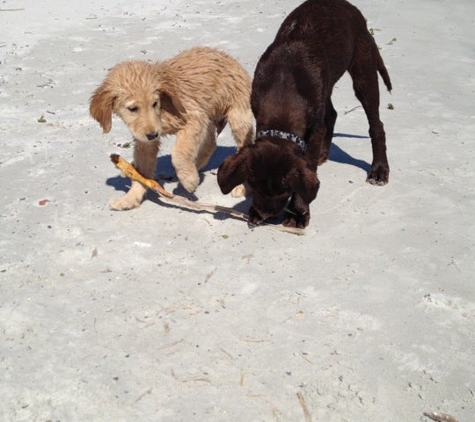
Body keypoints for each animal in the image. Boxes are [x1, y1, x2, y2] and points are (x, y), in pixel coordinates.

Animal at [90, 47, 255, 210]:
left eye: (154, 103)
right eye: (133, 109)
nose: (153, 134)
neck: (163, 107)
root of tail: (230, 58)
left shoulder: (194, 118)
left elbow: (178, 152)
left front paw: (189, 180)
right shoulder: (146, 143)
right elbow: (142, 173)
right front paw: (130, 198)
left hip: (238, 118)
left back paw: (241, 187)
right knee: (210, 143)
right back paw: (196, 166)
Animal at [218, 0, 392, 229]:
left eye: (286, 190)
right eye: (253, 185)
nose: (264, 214)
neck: (283, 90)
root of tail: (350, 7)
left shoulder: (314, 129)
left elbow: (308, 164)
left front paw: (299, 213)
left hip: (364, 73)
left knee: (376, 125)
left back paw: (379, 170)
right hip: (327, 87)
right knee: (332, 114)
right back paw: (324, 154)